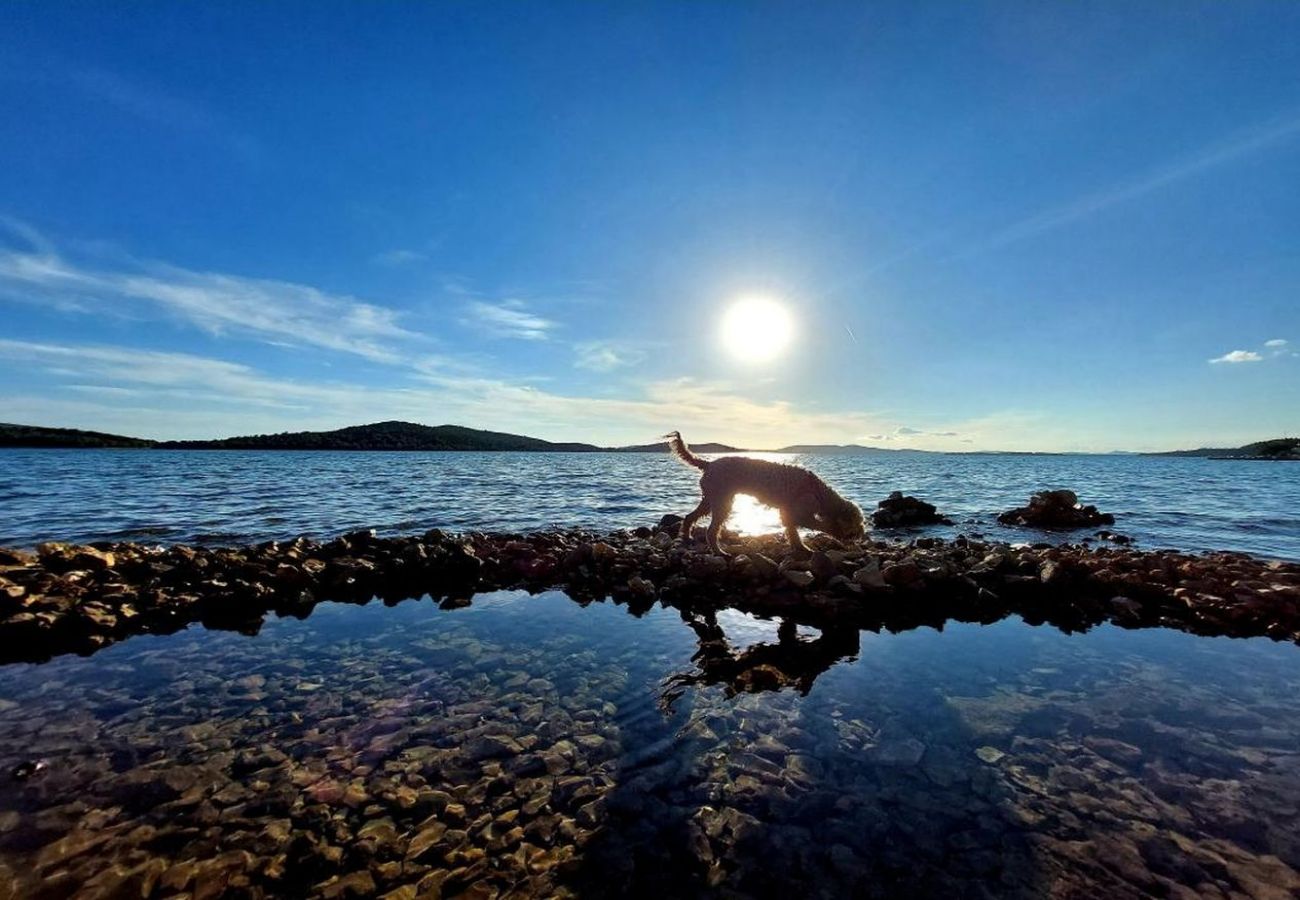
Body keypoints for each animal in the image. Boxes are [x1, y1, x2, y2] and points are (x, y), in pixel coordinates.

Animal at [665, 431, 868, 556]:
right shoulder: (800, 514)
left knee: (689, 517)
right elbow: (821, 525)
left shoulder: (787, 514)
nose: (861, 535)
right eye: (856, 524)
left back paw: (687, 537)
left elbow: (793, 532)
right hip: (722, 503)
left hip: (710, 500)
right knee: (711, 531)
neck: (818, 491)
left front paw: (800, 548)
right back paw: (718, 551)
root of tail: (708, 464)